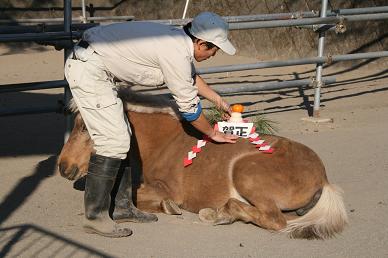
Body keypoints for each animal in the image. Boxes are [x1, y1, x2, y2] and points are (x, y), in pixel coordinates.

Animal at [57, 89, 348, 240]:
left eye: (85, 128)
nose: (63, 167)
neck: (166, 142)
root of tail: (323, 177)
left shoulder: (166, 188)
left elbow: (146, 197)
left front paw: (169, 207)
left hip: (246, 173)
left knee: (275, 221)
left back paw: (218, 213)